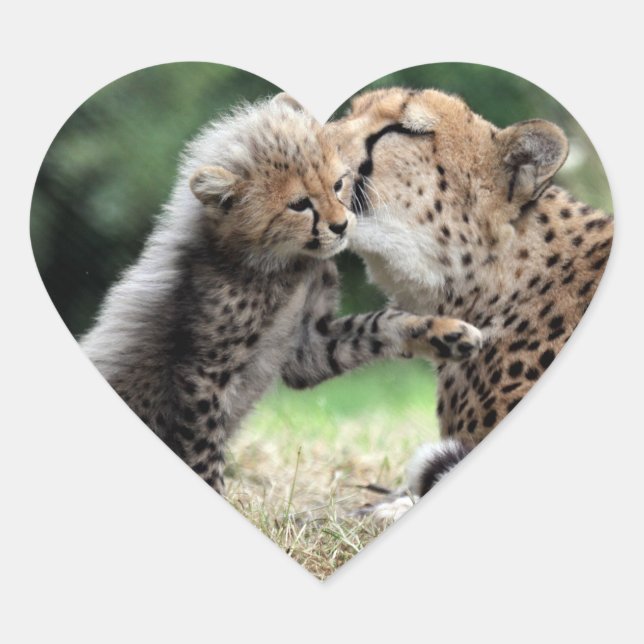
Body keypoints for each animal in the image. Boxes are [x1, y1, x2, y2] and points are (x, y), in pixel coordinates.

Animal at [81, 93, 484, 495]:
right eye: (299, 204)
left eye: (338, 184)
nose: (341, 226)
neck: (280, 266)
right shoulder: (202, 374)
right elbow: (202, 446)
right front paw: (216, 489)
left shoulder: (307, 348)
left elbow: (379, 324)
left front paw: (446, 333)